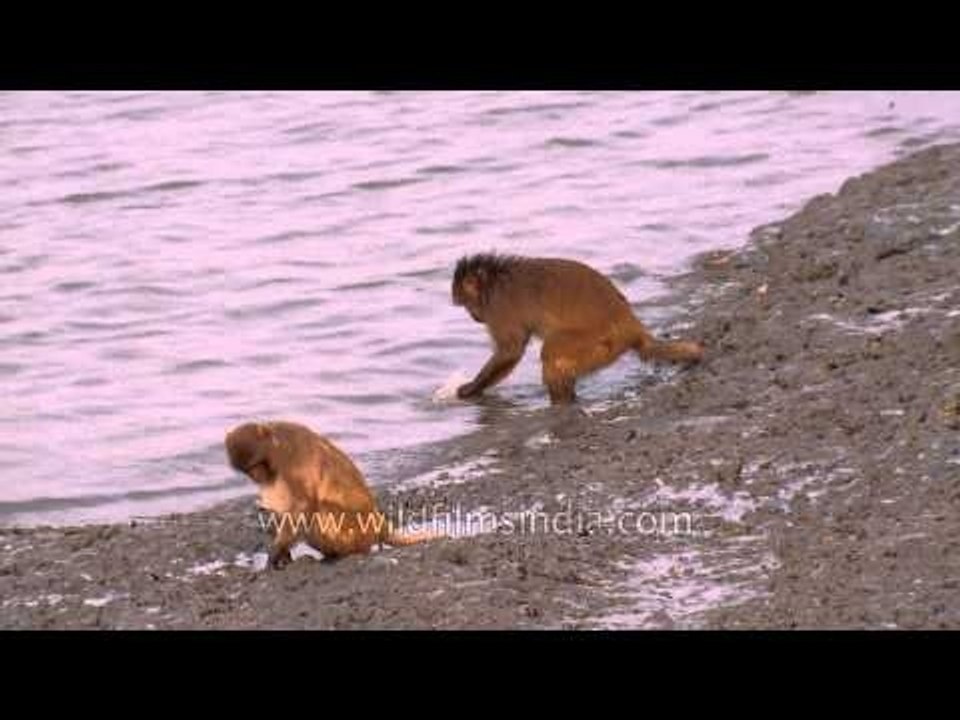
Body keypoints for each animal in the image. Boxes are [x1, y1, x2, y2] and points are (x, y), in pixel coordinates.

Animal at [225, 421, 437, 569]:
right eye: (248, 470)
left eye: (257, 464)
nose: (257, 475)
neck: (274, 443)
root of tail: (378, 522)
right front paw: (282, 554)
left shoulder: (288, 460)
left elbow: (302, 507)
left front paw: (275, 554)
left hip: (355, 532)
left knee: (318, 511)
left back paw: (341, 555)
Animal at [451, 253, 704, 404]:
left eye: (467, 305)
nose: (475, 317)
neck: (493, 281)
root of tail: (630, 323)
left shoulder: (499, 306)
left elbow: (511, 350)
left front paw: (471, 389)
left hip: (601, 341)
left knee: (551, 351)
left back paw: (561, 403)